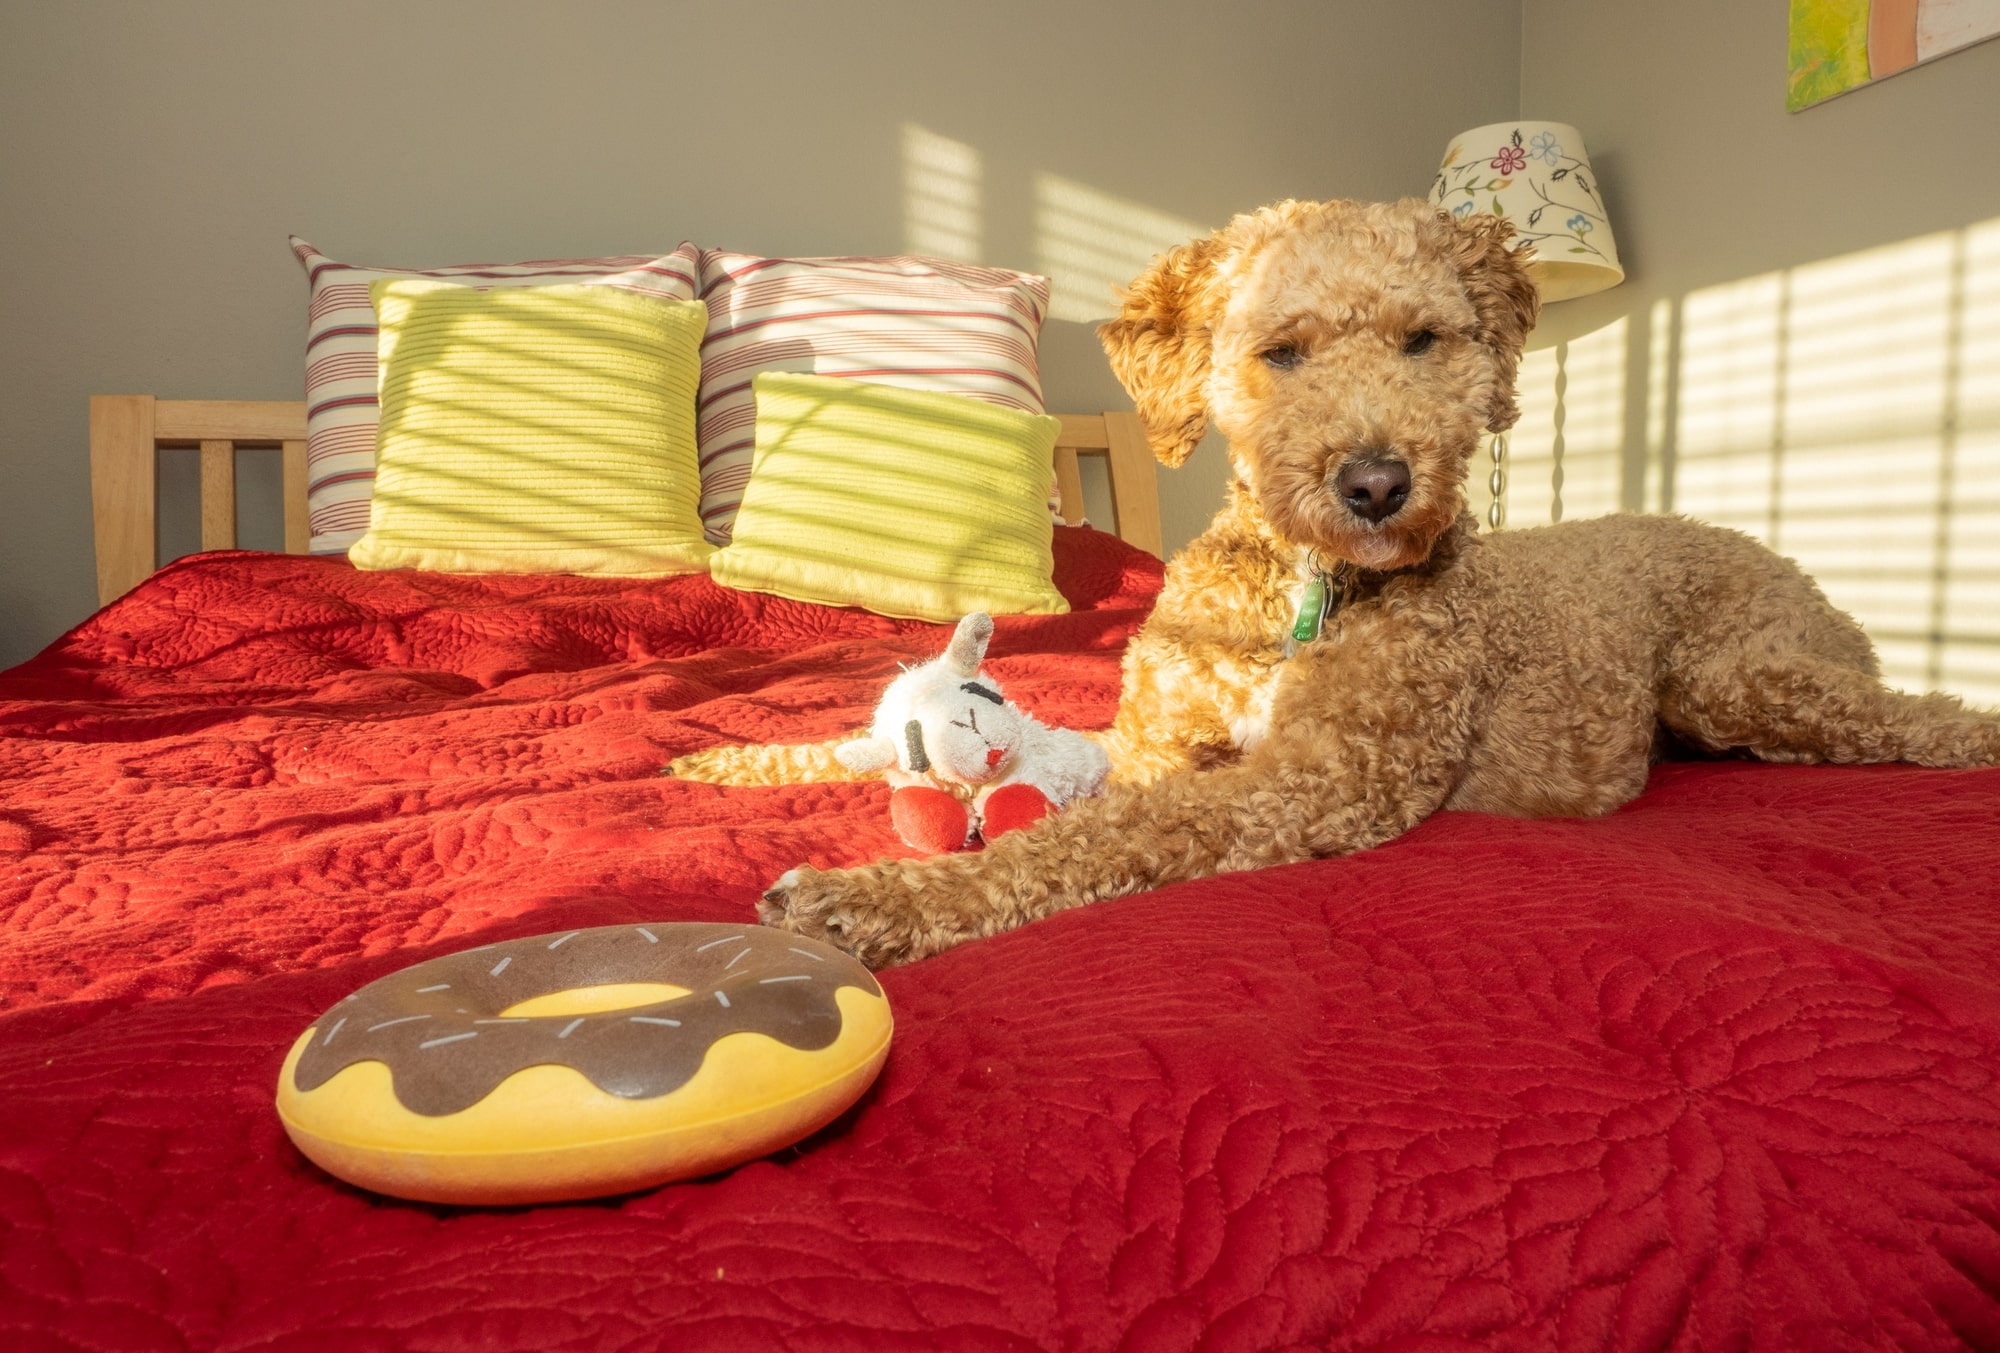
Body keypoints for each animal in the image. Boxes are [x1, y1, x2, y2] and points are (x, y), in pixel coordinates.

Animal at [676, 198, 2000, 960]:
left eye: (1423, 341)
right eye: (1281, 352)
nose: (1373, 482)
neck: (1300, 589)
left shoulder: (1316, 783)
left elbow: (1107, 836)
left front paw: (891, 899)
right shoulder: (1148, 741)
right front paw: (733, 765)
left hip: (1744, 681)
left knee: (1915, 715)